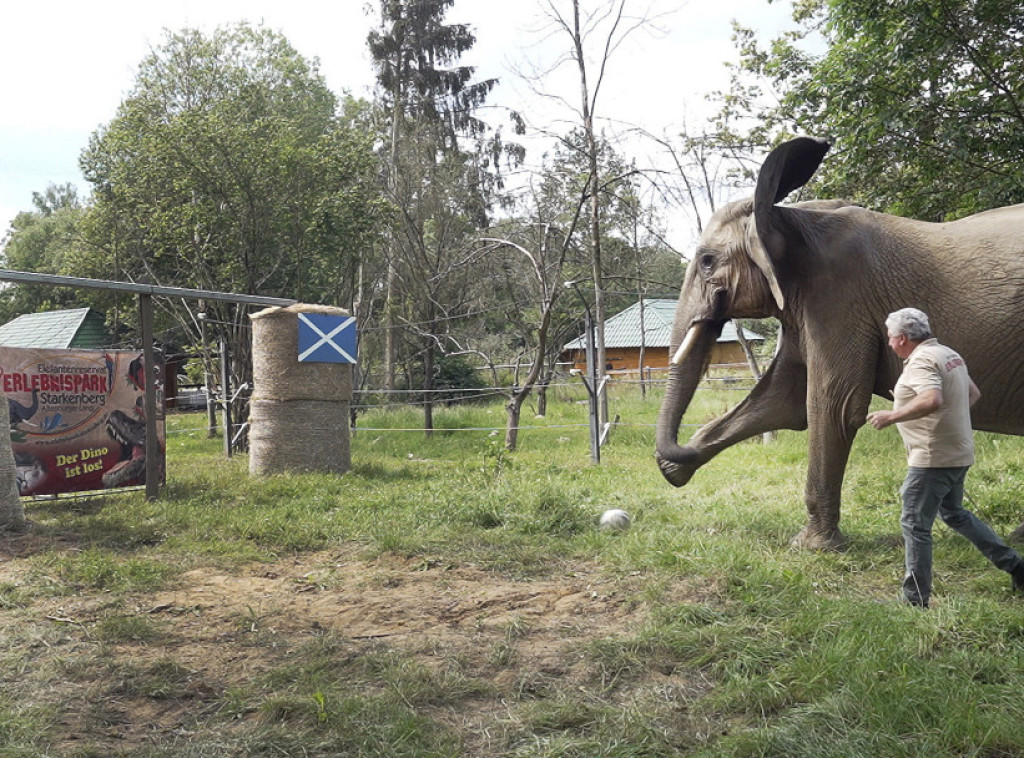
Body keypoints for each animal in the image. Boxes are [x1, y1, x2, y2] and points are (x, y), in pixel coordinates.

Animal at [655, 136, 1024, 549]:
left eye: (706, 261)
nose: (678, 453)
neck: (787, 216)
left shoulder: (839, 298)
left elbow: (832, 404)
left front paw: (811, 547)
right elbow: (783, 400)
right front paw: (677, 465)